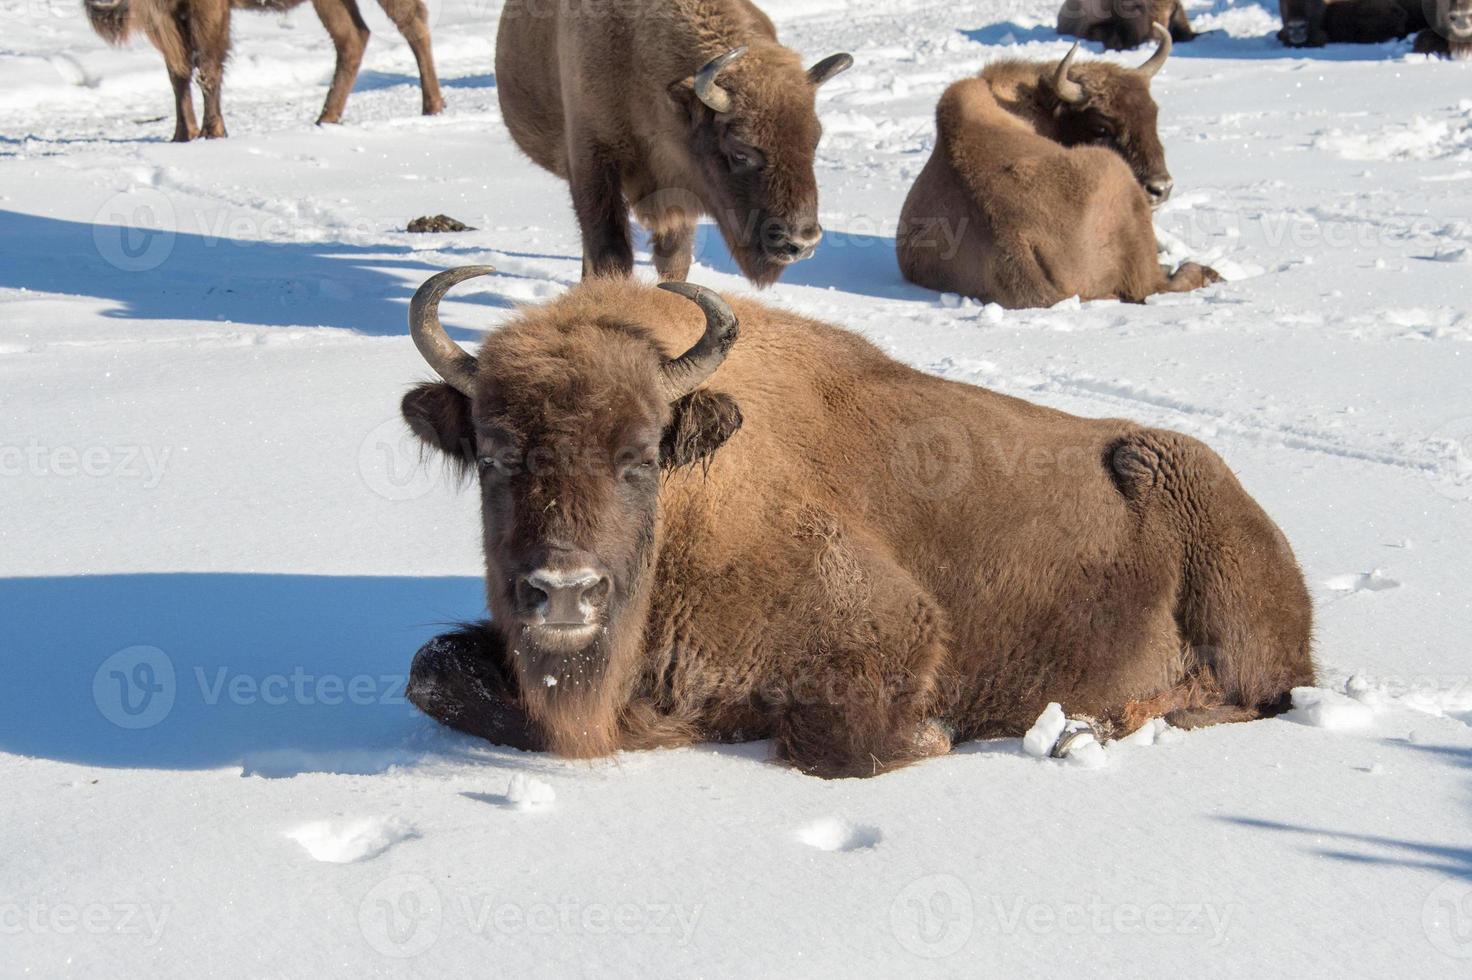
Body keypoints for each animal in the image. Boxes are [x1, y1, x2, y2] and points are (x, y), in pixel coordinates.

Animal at [84, 0, 441, 141]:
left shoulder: (207, 11)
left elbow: (207, 68)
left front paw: (212, 132)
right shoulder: (167, 17)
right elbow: (178, 73)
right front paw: (181, 135)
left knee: (413, 26)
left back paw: (432, 107)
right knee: (353, 37)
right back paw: (325, 119)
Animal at [397, 263, 1318, 776]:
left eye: (640, 454)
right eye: (495, 453)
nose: (564, 592)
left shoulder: (892, 625)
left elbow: (839, 743)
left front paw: (936, 737)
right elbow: (430, 671)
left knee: (1239, 695)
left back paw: (1083, 728)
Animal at [494, 0, 853, 283]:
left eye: (814, 141)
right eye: (739, 152)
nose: (802, 242)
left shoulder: (680, 191)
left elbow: (674, 261)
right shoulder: (593, 164)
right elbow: (611, 254)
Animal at [894, 26, 1218, 307]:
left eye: (1153, 114)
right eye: (1100, 128)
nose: (1160, 188)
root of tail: (1012, 240)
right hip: (1119, 182)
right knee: (1154, 284)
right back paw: (1206, 272)